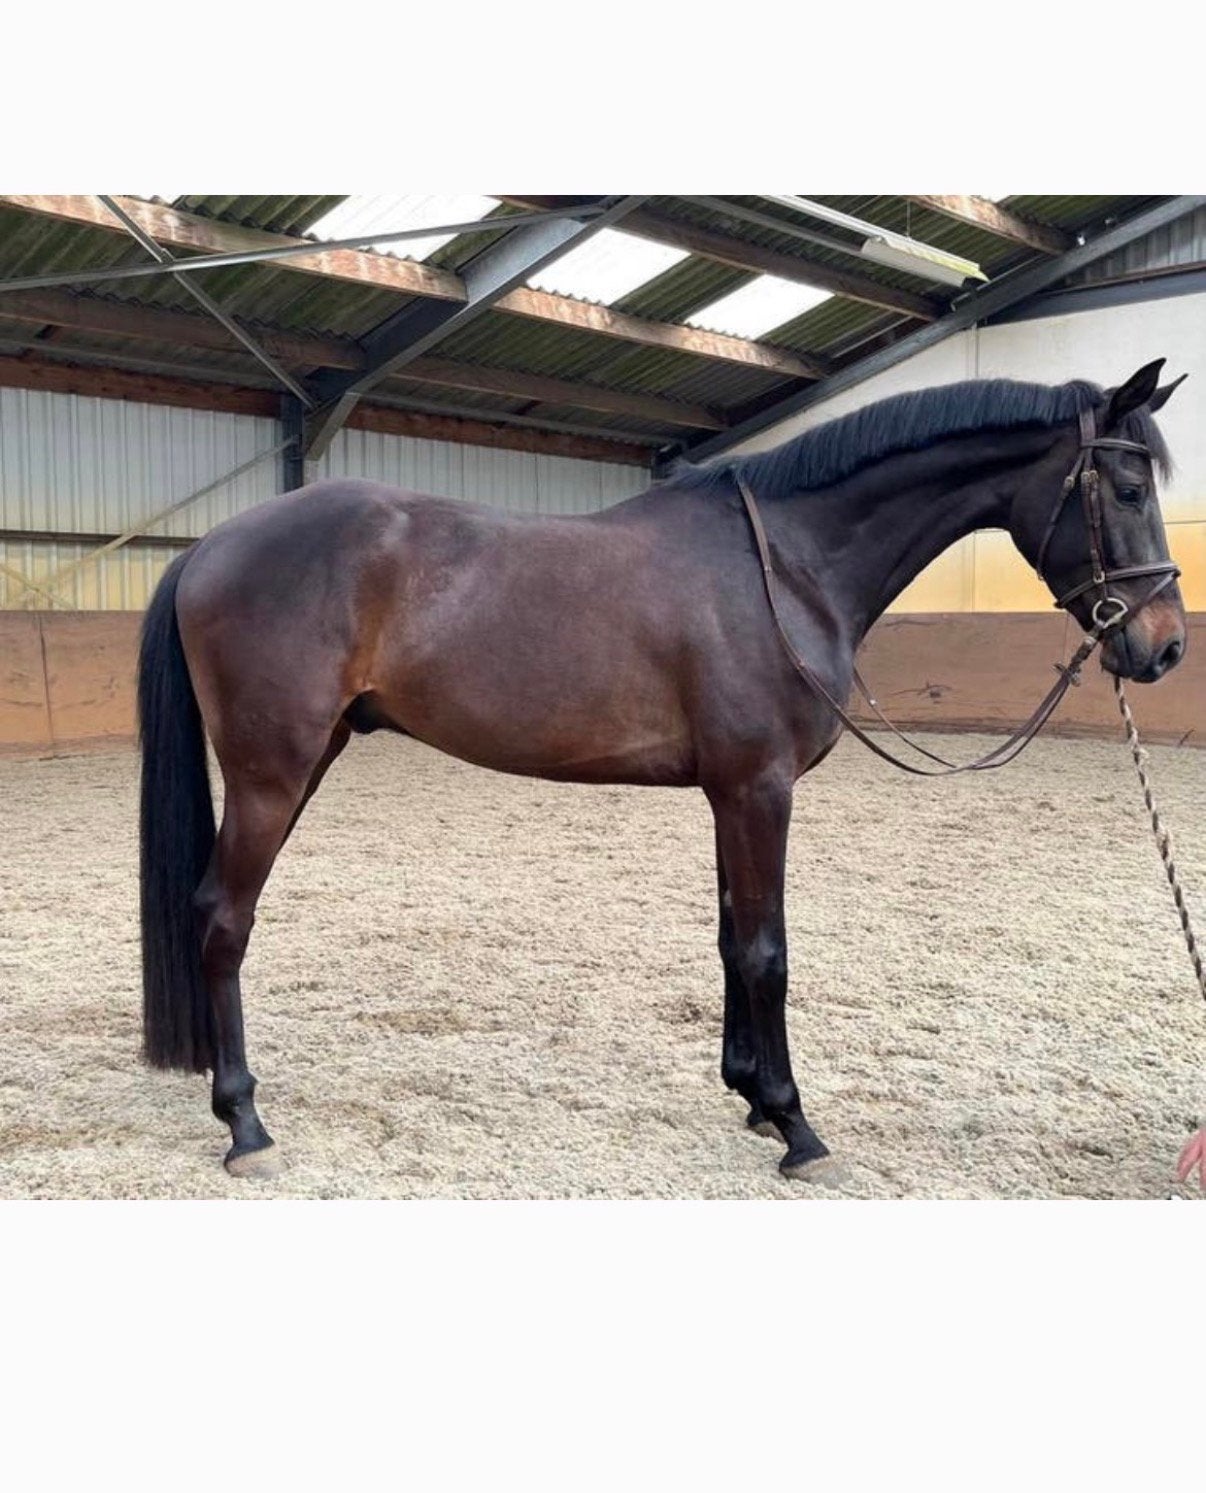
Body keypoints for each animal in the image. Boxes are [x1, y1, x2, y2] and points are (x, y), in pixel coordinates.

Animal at [137, 358, 1188, 1184]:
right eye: (1128, 491)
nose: (1166, 647)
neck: (784, 566)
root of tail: (211, 545)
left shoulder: (732, 793)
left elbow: (731, 942)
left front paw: (753, 1095)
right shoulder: (761, 789)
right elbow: (769, 951)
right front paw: (797, 1125)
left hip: (309, 760)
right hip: (272, 775)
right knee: (224, 919)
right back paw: (245, 1121)